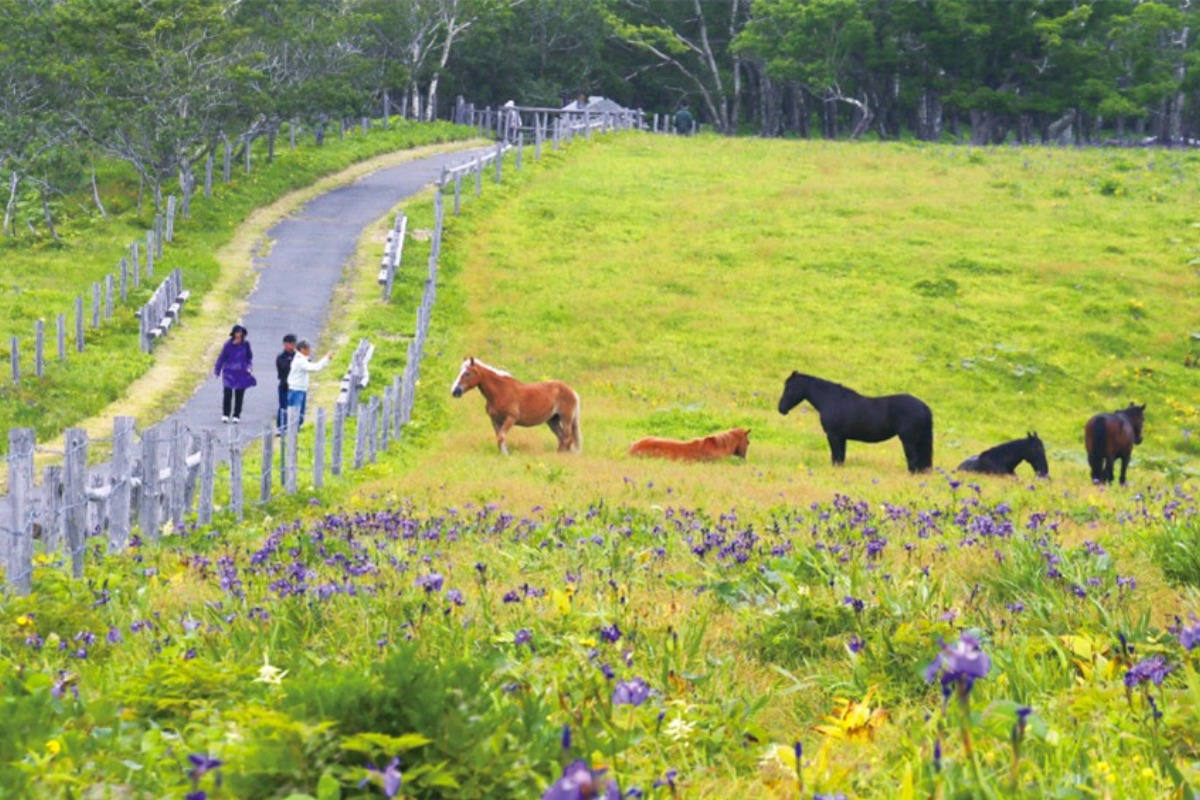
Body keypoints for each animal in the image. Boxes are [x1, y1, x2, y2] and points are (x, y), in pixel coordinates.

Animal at [451, 357, 580, 455]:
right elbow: (499, 438)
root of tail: (572, 391)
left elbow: (501, 436)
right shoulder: (495, 420)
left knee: (568, 438)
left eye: (467, 373)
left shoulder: (511, 418)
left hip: (566, 418)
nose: (454, 391)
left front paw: (506, 455)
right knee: (562, 438)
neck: (500, 391)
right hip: (552, 420)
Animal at [777, 371, 936, 472]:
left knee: (913, 460)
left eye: (789, 388)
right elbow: (841, 457)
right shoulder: (841, 438)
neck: (831, 400)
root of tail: (922, 405)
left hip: (908, 440)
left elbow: (836, 456)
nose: (781, 409)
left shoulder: (833, 436)